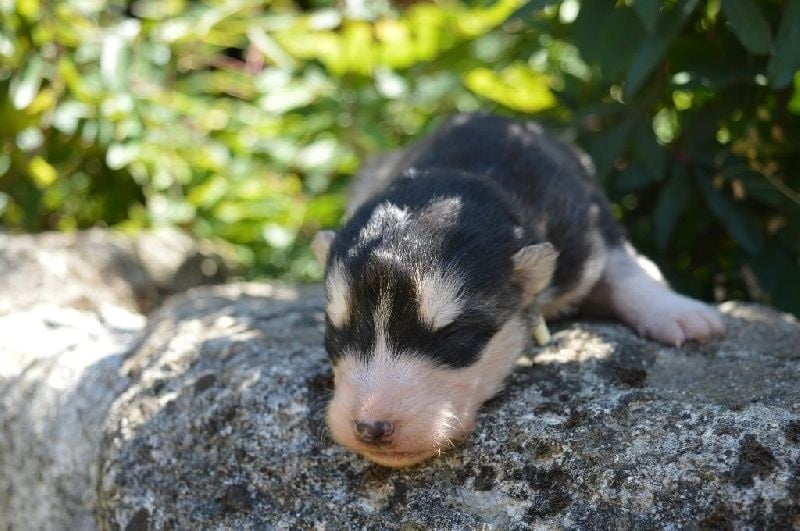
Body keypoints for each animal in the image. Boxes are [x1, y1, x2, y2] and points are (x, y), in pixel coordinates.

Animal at [312, 114, 724, 468]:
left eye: (454, 335)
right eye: (337, 332)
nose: (370, 428)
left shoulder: (587, 229)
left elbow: (626, 267)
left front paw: (677, 311)